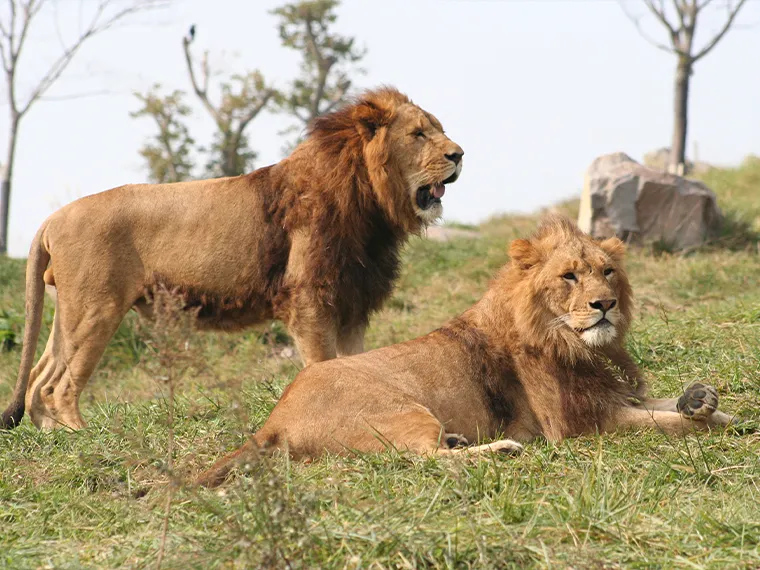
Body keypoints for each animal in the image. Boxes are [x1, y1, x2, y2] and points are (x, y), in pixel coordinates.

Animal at [1, 86, 464, 428]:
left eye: (438, 130)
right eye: (419, 134)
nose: (459, 154)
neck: (371, 205)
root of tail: (52, 219)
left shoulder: (353, 302)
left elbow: (356, 362)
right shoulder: (310, 300)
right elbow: (322, 362)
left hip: (71, 312)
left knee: (40, 377)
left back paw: (53, 437)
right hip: (97, 309)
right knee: (57, 386)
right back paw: (83, 437)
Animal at [199, 215, 732, 486]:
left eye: (608, 272)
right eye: (569, 277)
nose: (606, 304)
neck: (579, 344)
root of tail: (273, 420)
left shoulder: (613, 394)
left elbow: (665, 404)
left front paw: (703, 401)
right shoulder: (579, 425)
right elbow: (665, 424)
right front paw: (717, 422)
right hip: (402, 410)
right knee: (419, 459)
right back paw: (502, 451)